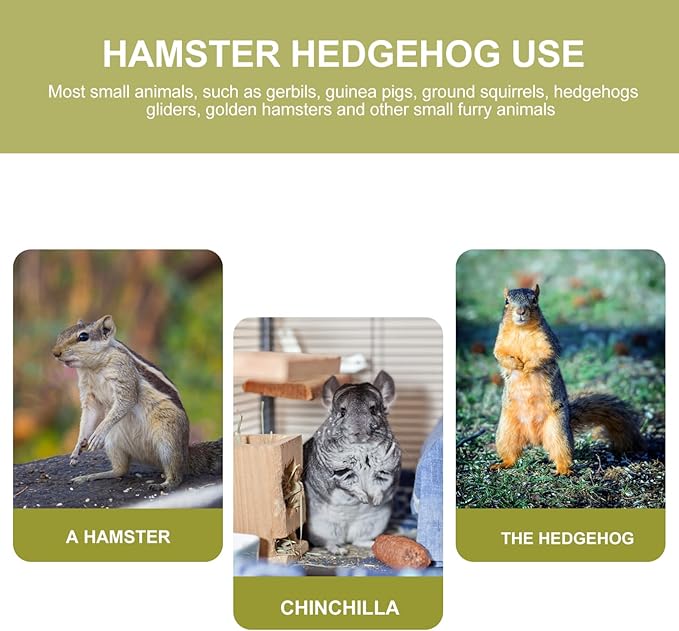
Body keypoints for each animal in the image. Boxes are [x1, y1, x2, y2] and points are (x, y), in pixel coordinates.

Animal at [303, 371, 401, 553]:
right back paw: (339, 550)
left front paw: (375, 501)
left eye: (373, 409)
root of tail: (346, 535)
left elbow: (380, 485)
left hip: (373, 523)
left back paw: (371, 544)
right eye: (342, 411)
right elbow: (350, 484)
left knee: (357, 540)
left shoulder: (386, 469)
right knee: (326, 542)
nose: (359, 432)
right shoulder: (338, 471)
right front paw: (363, 499)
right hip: (320, 527)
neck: (361, 447)